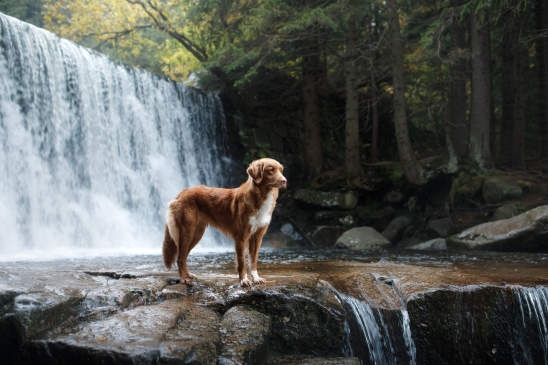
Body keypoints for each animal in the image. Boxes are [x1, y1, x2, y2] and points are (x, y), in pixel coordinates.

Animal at [162, 158, 286, 286]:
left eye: (281, 170)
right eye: (271, 170)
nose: (284, 181)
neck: (260, 197)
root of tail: (181, 193)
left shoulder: (257, 237)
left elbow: (253, 260)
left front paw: (256, 278)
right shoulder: (241, 237)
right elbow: (242, 261)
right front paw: (244, 280)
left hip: (197, 234)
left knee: (184, 256)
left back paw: (188, 275)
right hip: (187, 232)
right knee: (180, 258)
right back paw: (183, 279)